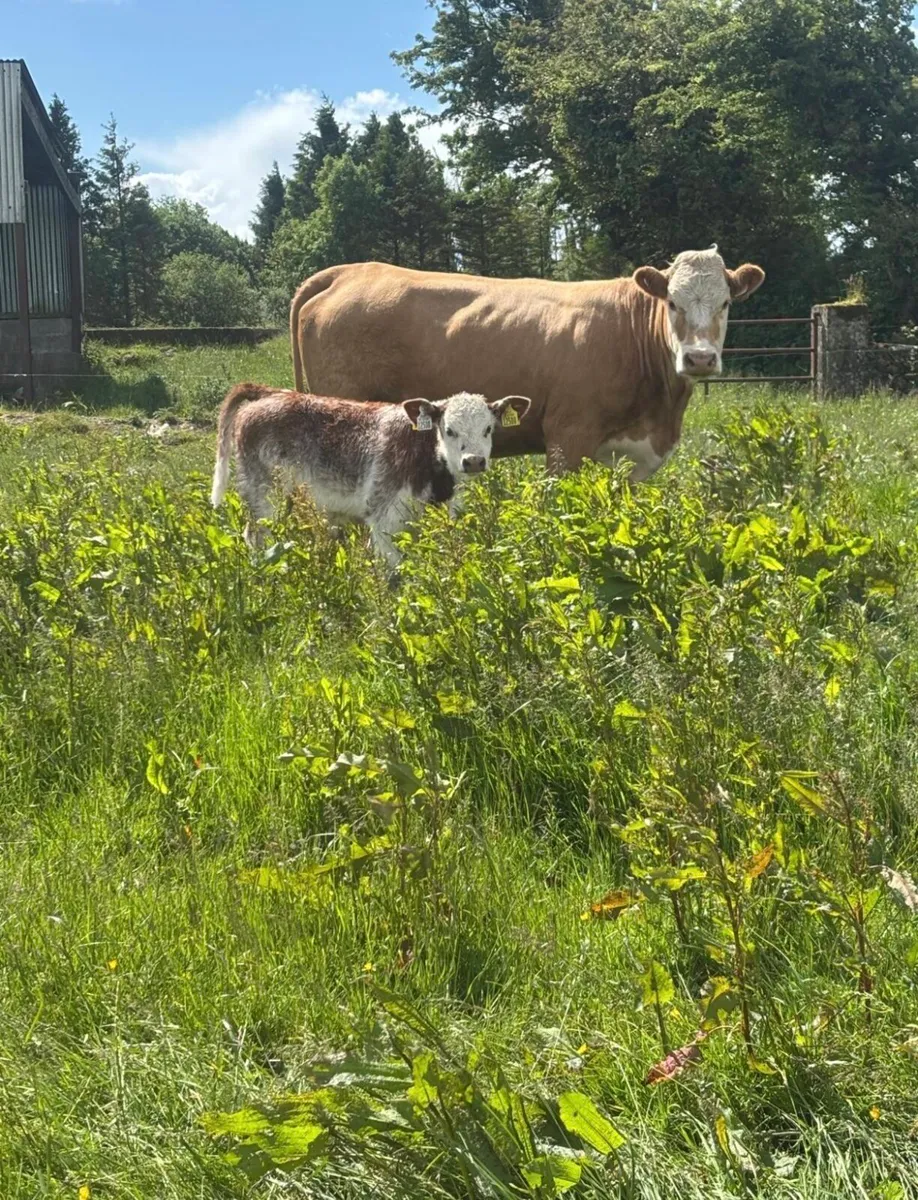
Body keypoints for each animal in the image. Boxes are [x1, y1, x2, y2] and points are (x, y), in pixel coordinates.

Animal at [210, 382, 531, 567]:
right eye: (449, 430)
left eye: (488, 429)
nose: (473, 461)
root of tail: (271, 394)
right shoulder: (383, 520)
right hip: (266, 499)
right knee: (258, 538)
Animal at [289, 247, 765, 482]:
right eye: (671, 302)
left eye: (725, 303)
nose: (699, 357)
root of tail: (348, 272)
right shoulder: (567, 438)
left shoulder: (635, 457)